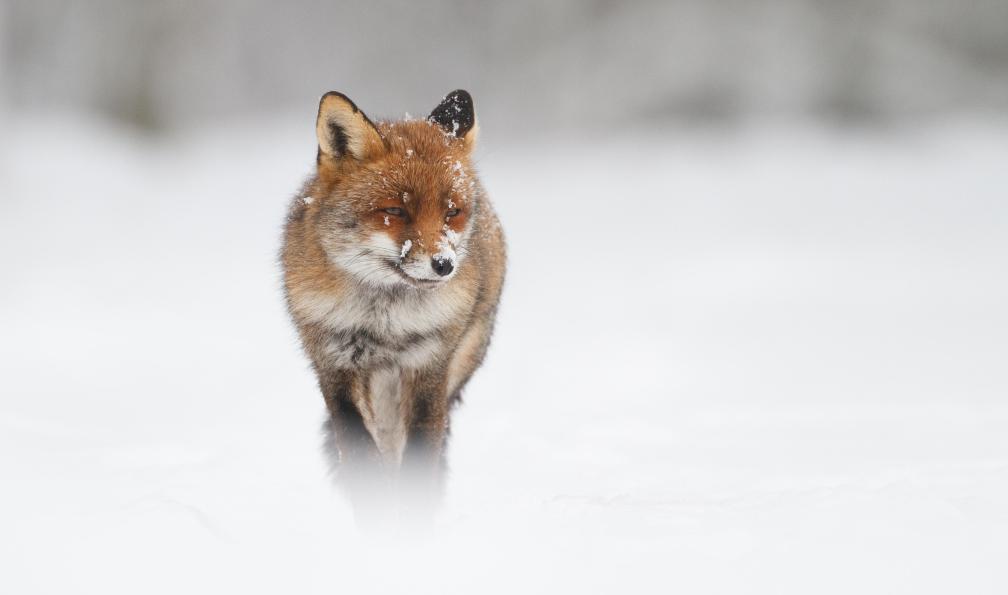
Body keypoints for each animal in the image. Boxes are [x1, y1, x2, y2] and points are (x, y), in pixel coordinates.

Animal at [281, 90, 505, 515]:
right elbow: (360, 455)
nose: (444, 265)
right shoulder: (334, 365)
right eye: (396, 211)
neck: (385, 322)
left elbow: (418, 464)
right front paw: (376, 515)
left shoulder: (429, 367)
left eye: (452, 211)